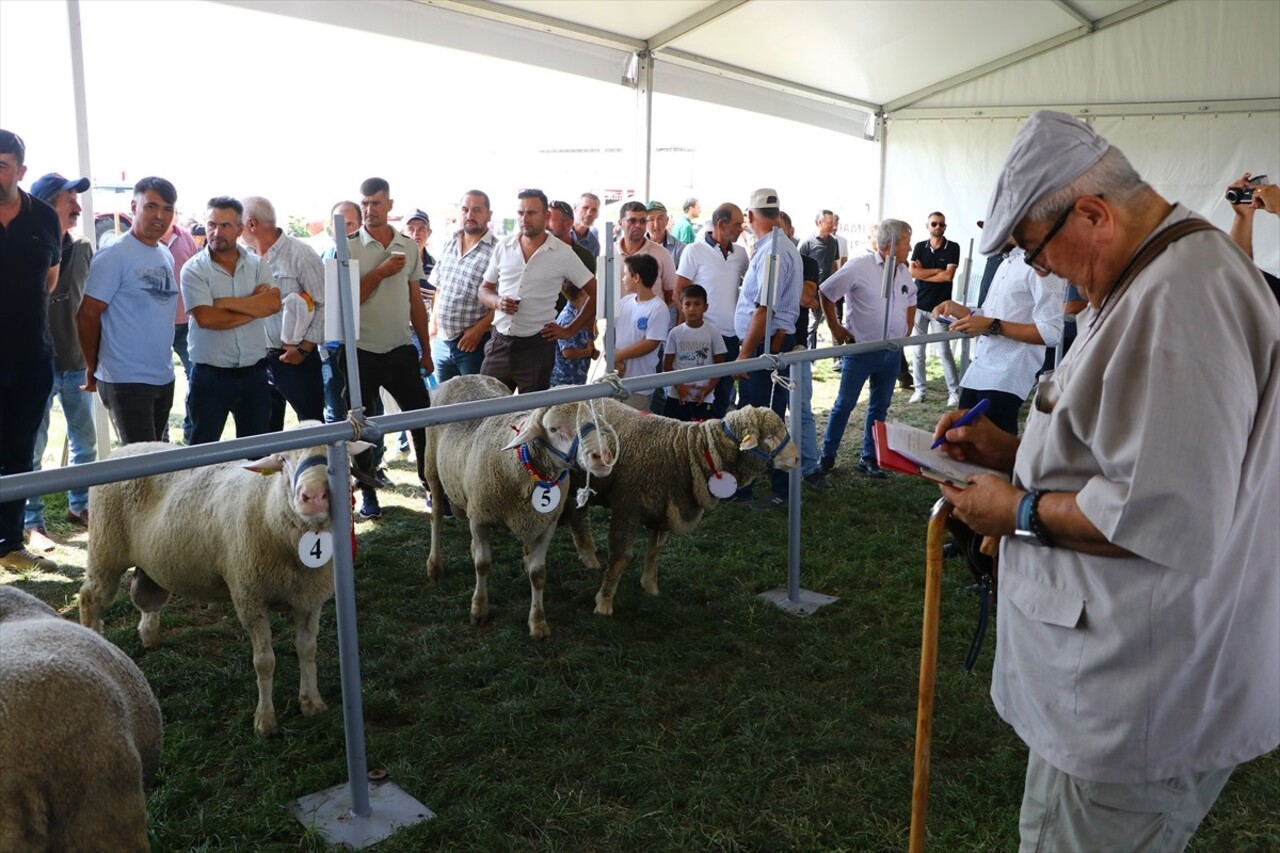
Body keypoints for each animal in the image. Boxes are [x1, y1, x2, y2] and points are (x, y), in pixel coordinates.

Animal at [78, 427, 366, 732]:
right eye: (283, 459)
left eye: (340, 459)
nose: (312, 496)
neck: (270, 509)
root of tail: (124, 449)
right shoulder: (249, 597)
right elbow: (265, 662)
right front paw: (265, 720)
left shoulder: (309, 600)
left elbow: (307, 650)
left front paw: (312, 702)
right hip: (105, 550)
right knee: (89, 599)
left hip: (152, 562)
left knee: (145, 597)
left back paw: (149, 635)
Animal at [422, 376, 616, 635]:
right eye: (553, 429)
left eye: (592, 422)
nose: (602, 457)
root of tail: (465, 376)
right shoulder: (480, 516)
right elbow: (483, 564)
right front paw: (479, 610)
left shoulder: (546, 523)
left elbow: (538, 573)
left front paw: (538, 622)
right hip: (432, 467)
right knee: (436, 517)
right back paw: (434, 566)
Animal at [563, 402, 793, 614]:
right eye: (770, 437)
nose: (797, 459)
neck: (687, 451)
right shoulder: (628, 507)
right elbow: (621, 557)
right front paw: (604, 603)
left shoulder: (665, 509)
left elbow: (654, 551)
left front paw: (650, 587)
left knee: (578, 516)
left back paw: (590, 559)